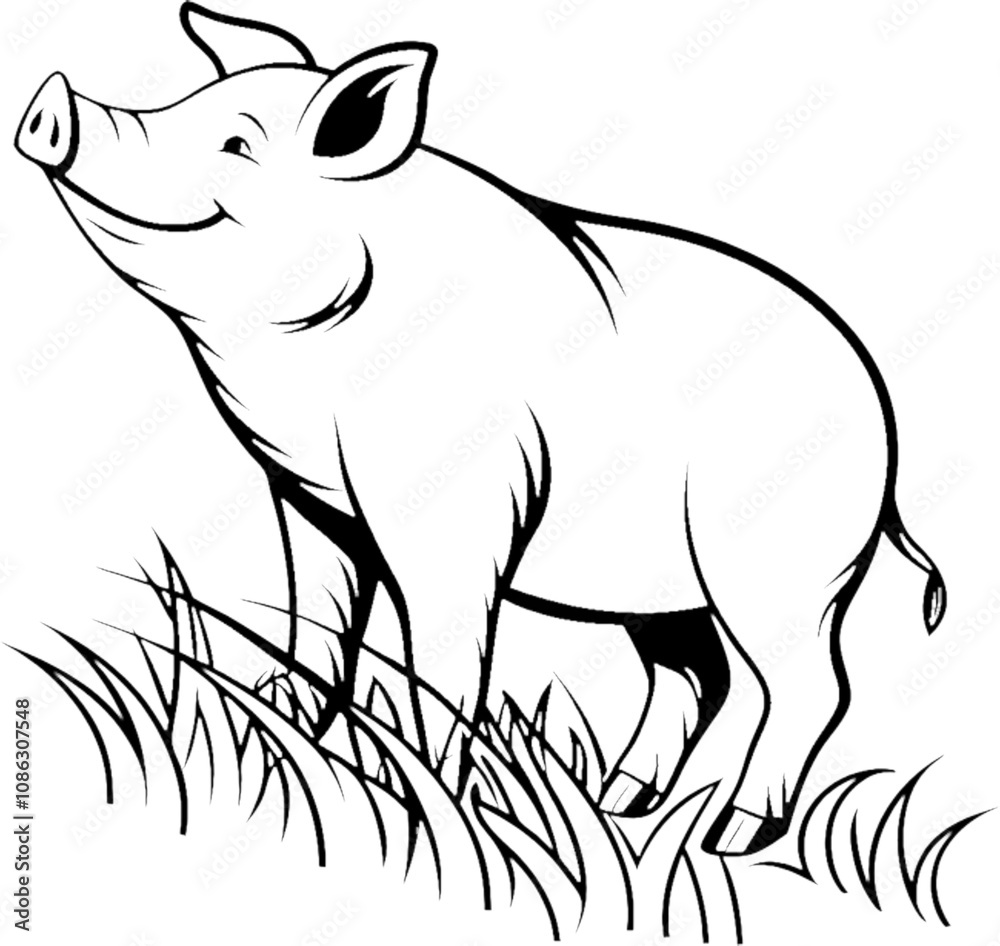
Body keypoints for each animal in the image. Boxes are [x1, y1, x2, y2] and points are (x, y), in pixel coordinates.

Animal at [15, 3, 946, 856]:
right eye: (184, 101)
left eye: (237, 145)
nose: (50, 103)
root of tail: (883, 419)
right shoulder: (306, 496)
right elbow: (315, 620)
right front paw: (284, 729)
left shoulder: (463, 504)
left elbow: (440, 653)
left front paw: (425, 799)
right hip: (666, 586)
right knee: (695, 675)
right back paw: (616, 805)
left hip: (787, 562)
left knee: (809, 685)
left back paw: (728, 838)